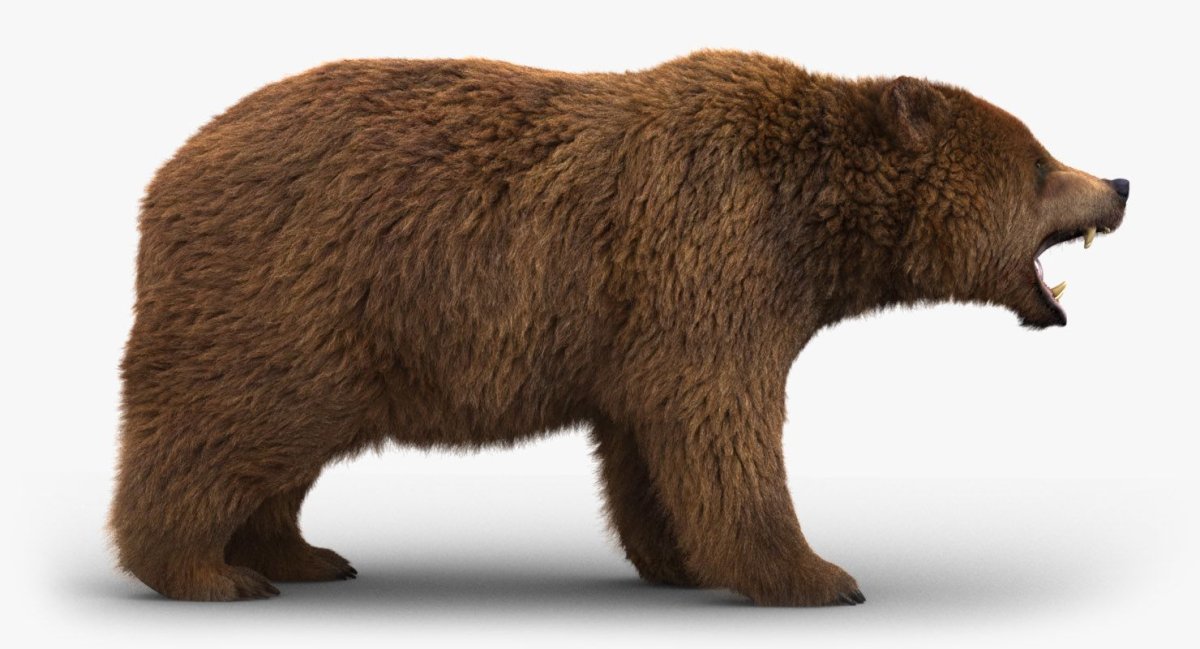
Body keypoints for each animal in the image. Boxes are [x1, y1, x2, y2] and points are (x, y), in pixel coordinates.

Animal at [111, 50, 1129, 605]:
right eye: (1042, 162)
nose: (1118, 182)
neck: (811, 224)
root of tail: (169, 171)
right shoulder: (711, 257)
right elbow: (724, 430)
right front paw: (819, 572)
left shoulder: (647, 324)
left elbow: (650, 443)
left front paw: (679, 557)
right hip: (289, 295)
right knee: (223, 427)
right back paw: (204, 569)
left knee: (278, 453)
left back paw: (302, 553)